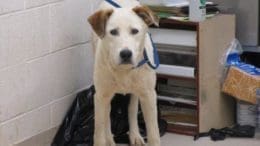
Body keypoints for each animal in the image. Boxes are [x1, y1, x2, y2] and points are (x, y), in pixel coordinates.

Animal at [88, 0, 159, 145]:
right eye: (113, 32)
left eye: (135, 31)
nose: (126, 53)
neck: (124, 70)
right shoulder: (100, 96)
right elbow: (99, 133)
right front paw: (105, 139)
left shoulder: (149, 95)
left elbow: (154, 135)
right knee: (107, 114)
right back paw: (109, 139)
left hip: (138, 90)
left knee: (132, 108)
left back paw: (135, 135)